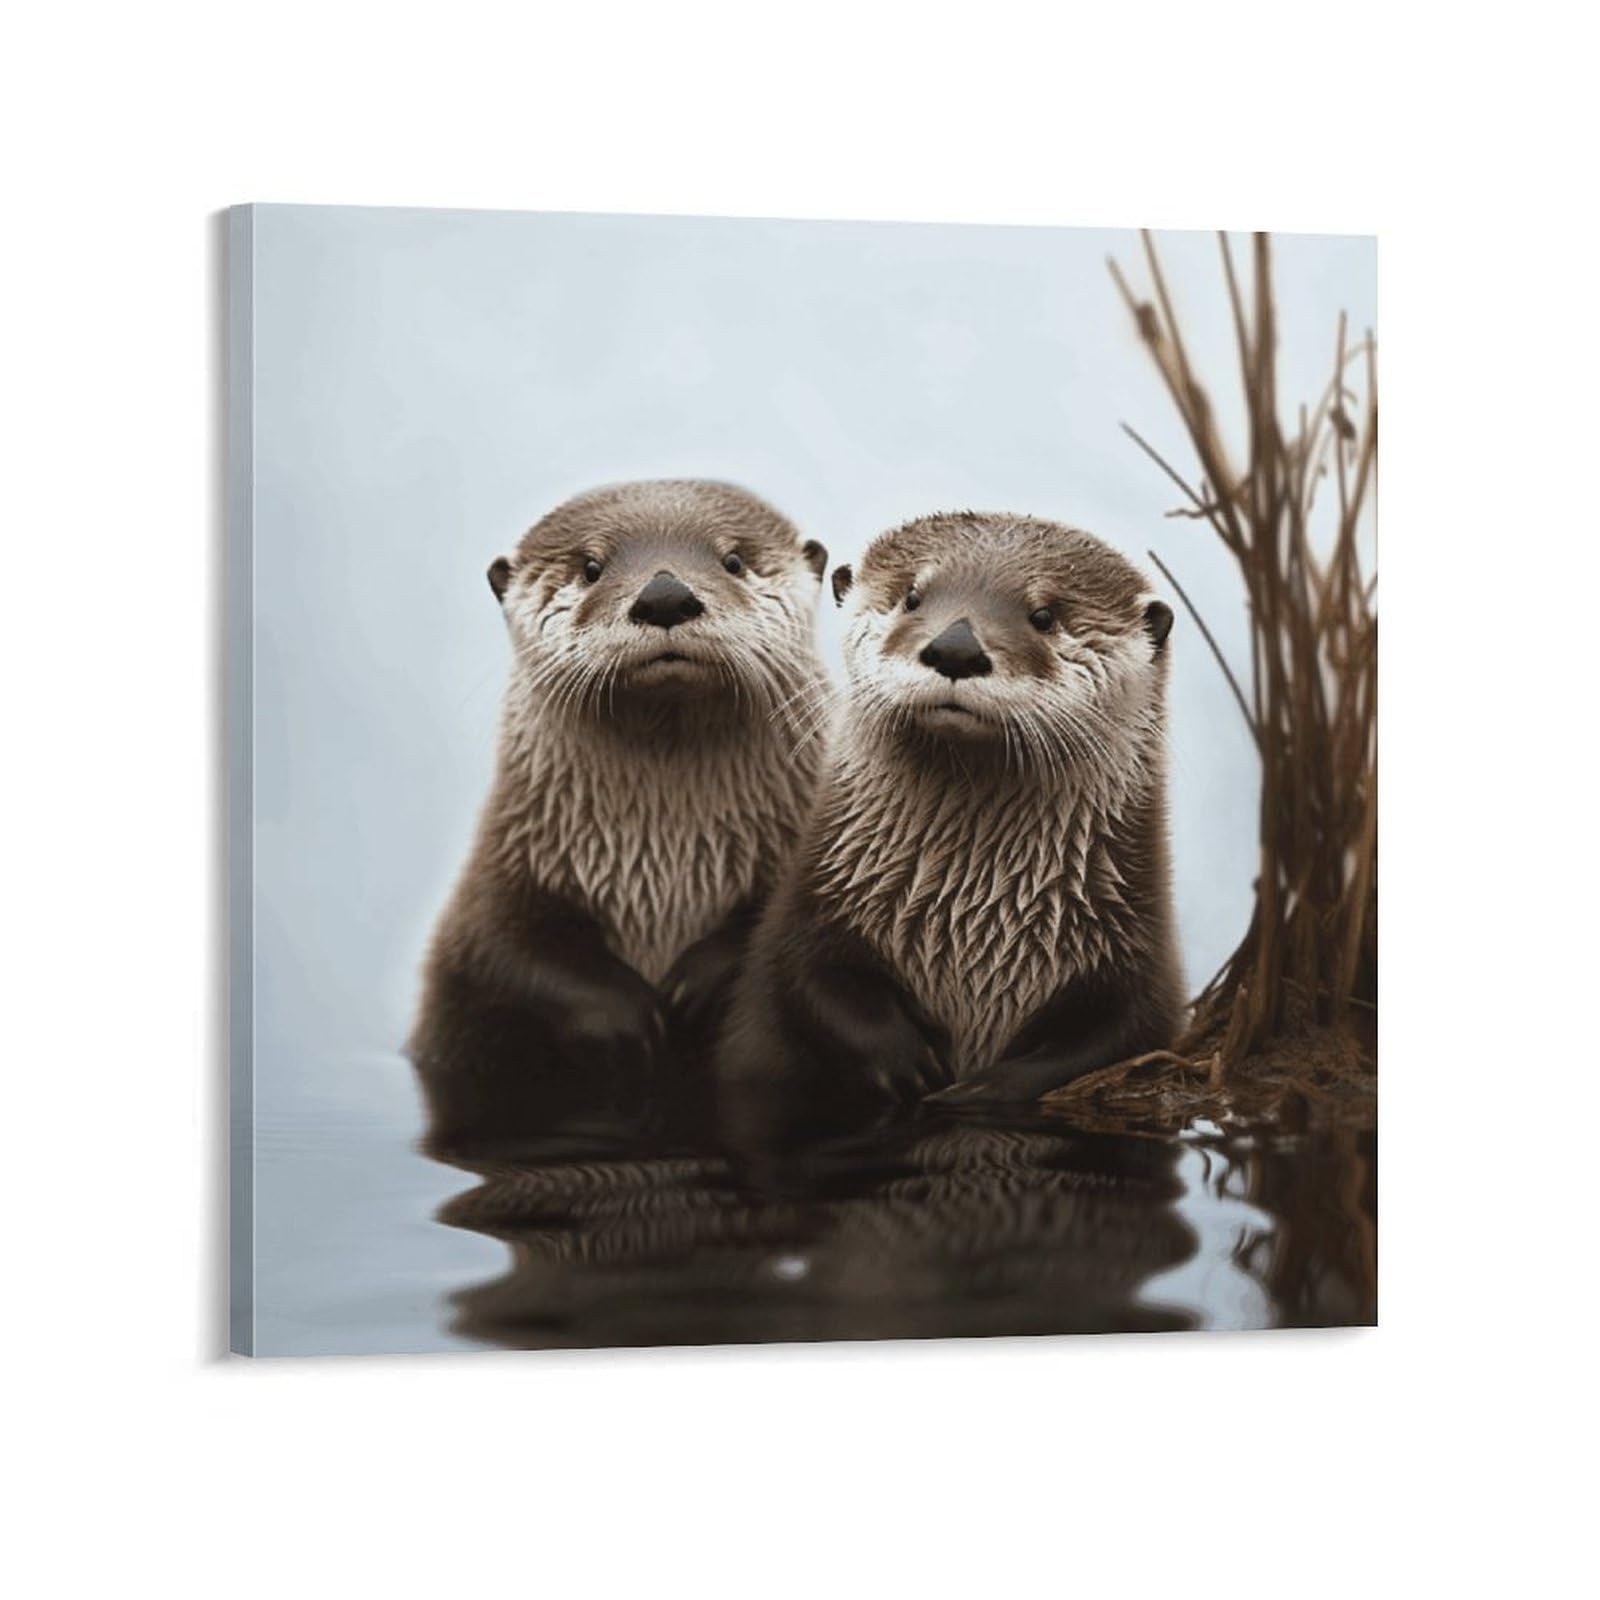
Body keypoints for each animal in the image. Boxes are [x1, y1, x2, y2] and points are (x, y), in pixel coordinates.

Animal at [412, 480, 830, 1144]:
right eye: (591, 566)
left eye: (732, 560)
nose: (665, 595)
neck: (668, 860)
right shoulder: (500, 870)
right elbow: (500, 947)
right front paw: (627, 1014)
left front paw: (695, 983)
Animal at [717, 510, 1184, 1146]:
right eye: (913, 596)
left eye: (1044, 615)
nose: (956, 647)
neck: (971, 916)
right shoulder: (811, 906)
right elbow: (807, 979)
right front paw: (907, 1061)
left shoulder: (1137, 948)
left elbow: (1120, 1035)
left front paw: (990, 1086)